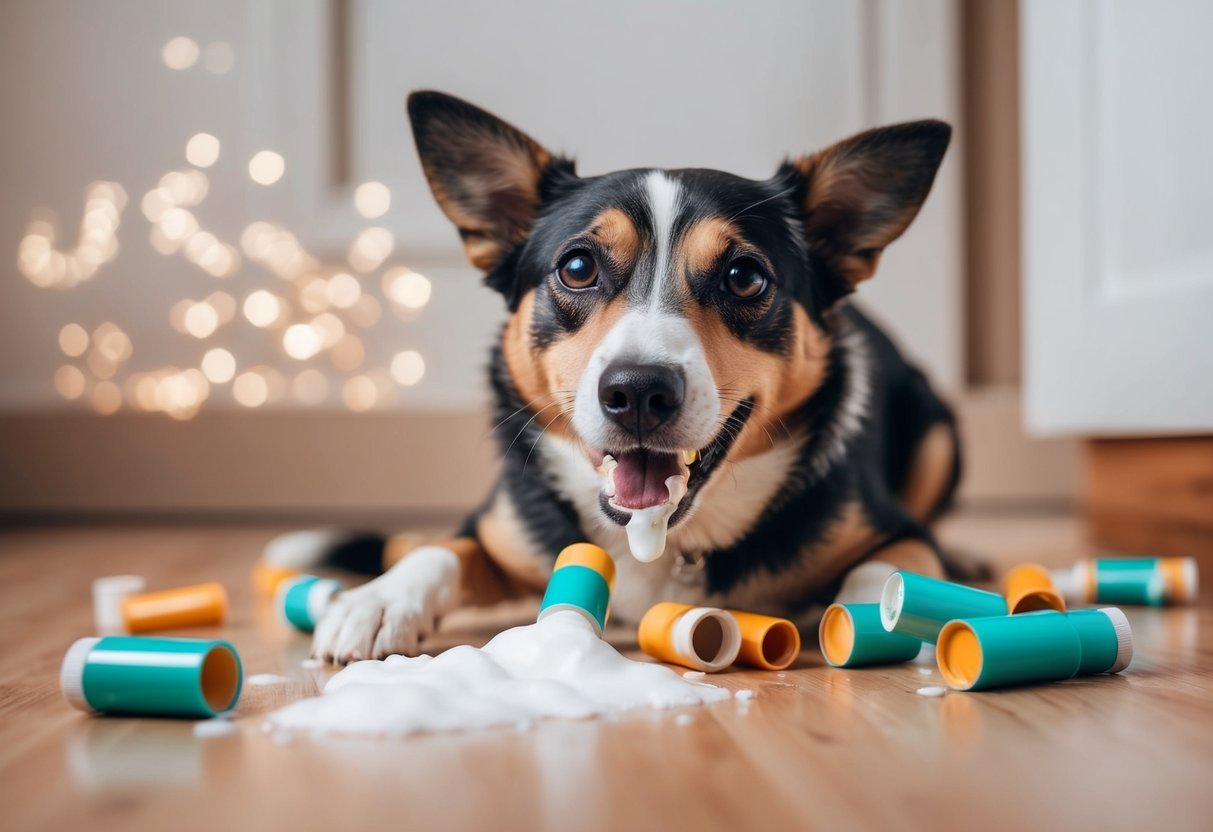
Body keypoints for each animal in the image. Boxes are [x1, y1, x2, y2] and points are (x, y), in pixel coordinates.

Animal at [272, 90, 955, 664]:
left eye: (744, 277)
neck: (662, 540)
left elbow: (889, 570)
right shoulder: (504, 526)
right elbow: (443, 549)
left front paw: (883, 614)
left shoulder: (899, 529)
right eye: (577, 267)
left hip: (939, 433)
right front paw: (377, 601)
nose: (638, 392)